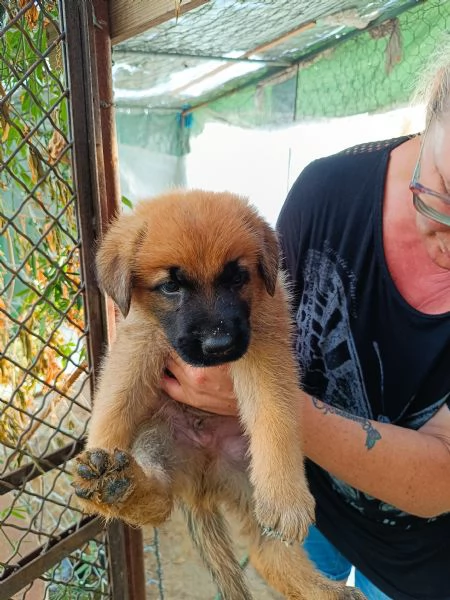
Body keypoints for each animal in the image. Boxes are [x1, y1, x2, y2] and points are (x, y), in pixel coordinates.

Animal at [73, 191, 366, 600]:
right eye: (170, 286)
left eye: (238, 277)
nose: (218, 345)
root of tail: (203, 483)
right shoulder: (136, 344)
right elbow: (114, 403)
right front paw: (96, 456)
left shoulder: (265, 351)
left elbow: (275, 415)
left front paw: (286, 496)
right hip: (160, 440)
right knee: (161, 501)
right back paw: (118, 487)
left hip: (248, 484)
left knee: (271, 555)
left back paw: (333, 591)